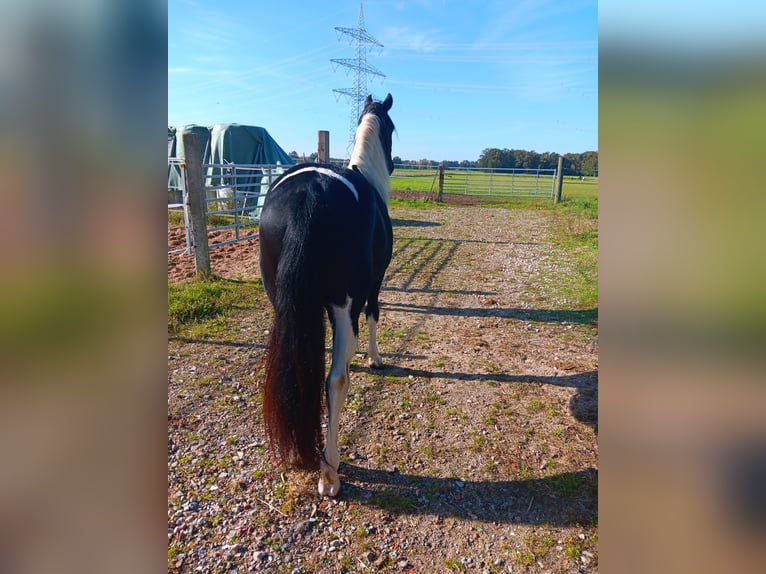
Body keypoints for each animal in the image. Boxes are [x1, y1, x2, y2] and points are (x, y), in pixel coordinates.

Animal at [260, 92, 400, 498]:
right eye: (392, 128)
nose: (394, 164)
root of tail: (311, 193)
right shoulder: (373, 284)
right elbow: (374, 315)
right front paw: (374, 359)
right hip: (342, 306)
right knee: (335, 380)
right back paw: (330, 473)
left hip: (281, 300)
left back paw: (295, 452)